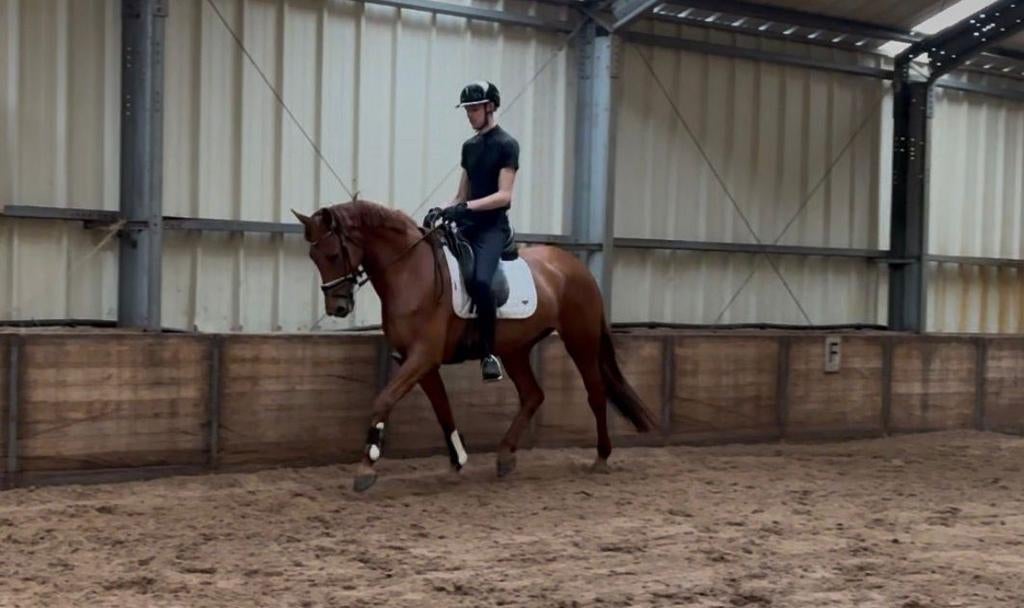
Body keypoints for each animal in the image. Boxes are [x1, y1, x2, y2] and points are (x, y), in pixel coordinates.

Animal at [292, 200, 658, 492]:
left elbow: (383, 400)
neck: (411, 273)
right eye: (313, 256)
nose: (337, 307)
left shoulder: (422, 357)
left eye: (333, 253)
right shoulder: (420, 362)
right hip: (515, 349)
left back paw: (601, 457)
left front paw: (367, 467)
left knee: (595, 394)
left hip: (580, 340)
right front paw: (458, 459)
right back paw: (505, 456)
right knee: (533, 395)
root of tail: (574, 266)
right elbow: (442, 409)